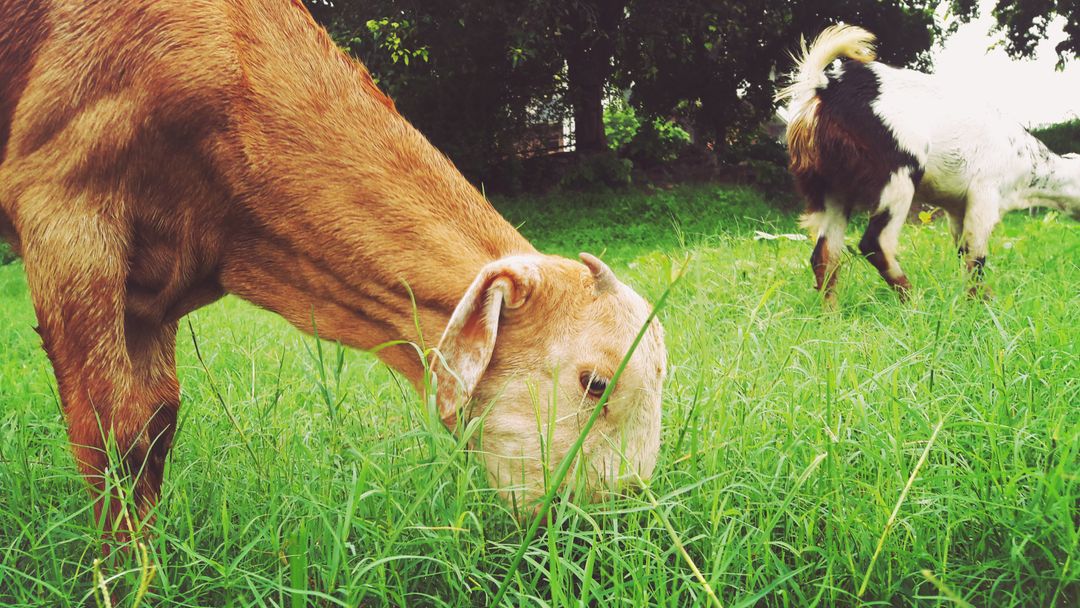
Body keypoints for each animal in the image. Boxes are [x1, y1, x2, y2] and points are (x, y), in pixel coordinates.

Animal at [0, 0, 666, 544]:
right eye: (595, 383)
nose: (613, 523)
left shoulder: (154, 290)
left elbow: (157, 423)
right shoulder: (62, 208)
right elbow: (114, 432)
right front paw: (128, 577)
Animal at [778, 25, 1080, 305]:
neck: (1029, 163)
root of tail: (825, 87)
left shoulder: (957, 210)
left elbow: (964, 253)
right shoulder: (984, 197)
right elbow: (976, 257)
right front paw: (981, 303)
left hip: (832, 188)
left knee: (824, 255)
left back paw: (832, 314)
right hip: (897, 174)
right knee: (876, 243)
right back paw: (913, 301)